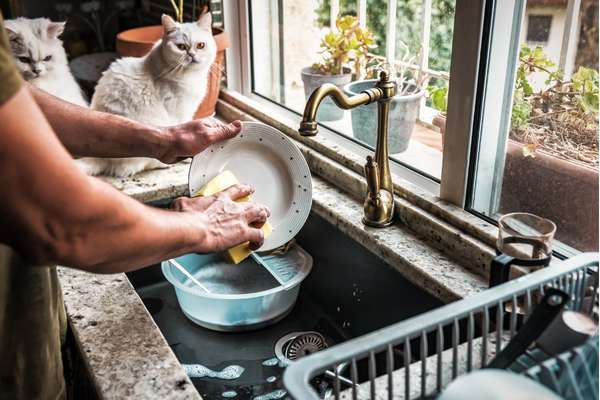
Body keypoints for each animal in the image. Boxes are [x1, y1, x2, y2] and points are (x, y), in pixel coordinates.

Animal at [81, 12, 218, 177]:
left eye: (201, 45)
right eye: (181, 47)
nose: (191, 54)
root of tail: (98, 157)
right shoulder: (180, 112)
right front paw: (188, 157)